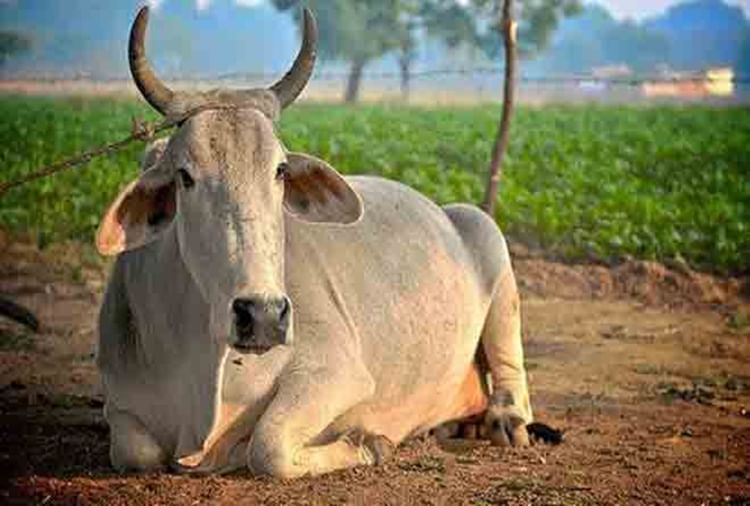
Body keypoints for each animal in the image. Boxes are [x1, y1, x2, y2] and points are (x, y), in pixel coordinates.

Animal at [95, 6, 533, 477]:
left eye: (280, 170)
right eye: (184, 176)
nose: (263, 315)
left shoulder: (338, 373)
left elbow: (268, 446)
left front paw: (368, 444)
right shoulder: (121, 402)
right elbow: (136, 453)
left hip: (489, 239)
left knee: (511, 375)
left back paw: (503, 420)